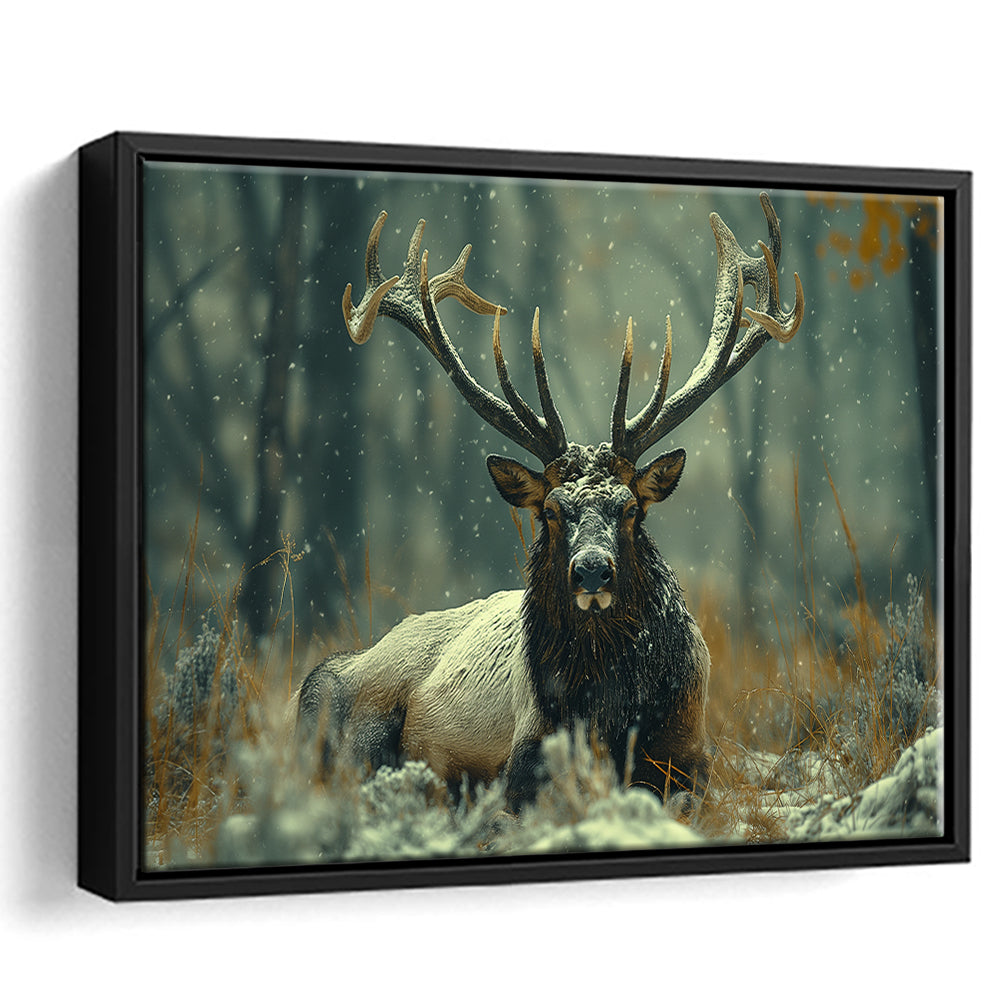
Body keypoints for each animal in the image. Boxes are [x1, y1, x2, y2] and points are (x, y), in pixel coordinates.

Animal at [295, 193, 804, 813]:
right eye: (553, 511)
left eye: (630, 509)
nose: (592, 570)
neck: (611, 716)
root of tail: (339, 665)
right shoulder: (526, 751)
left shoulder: (692, 755)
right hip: (353, 726)